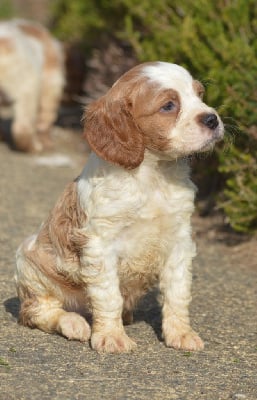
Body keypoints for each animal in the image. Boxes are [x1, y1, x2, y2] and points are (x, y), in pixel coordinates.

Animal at [15, 61, 223, 352]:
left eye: (200, 94)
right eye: (169, 105)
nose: (212, 119)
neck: (154, 174)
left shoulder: (179, 241)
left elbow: (178, 292)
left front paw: (181, 334)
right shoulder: (101, 244)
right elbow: (109, 295)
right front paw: (112, 337)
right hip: (29, 267)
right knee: (39, 311)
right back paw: (74, 323)